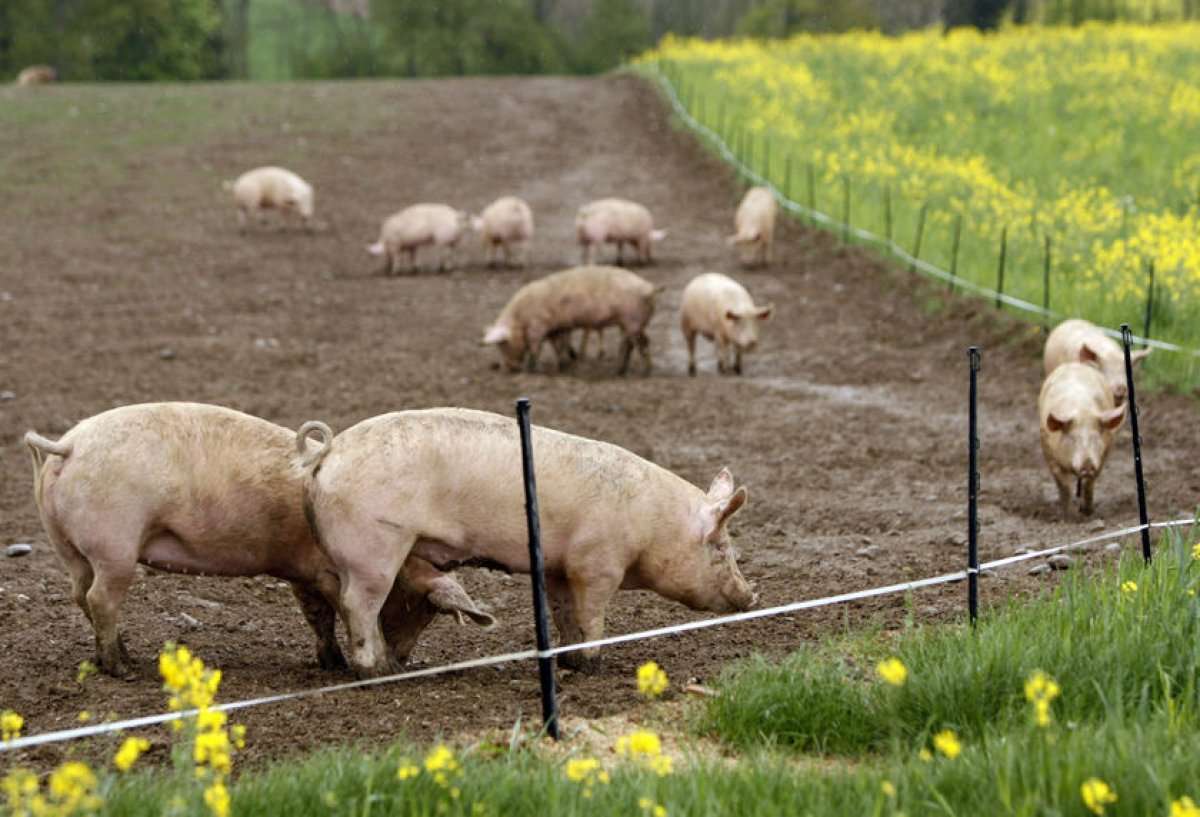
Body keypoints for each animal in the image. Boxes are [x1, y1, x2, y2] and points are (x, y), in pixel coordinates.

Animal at [23, 400, 492, 676]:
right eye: (421, 609)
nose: (403, 663)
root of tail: (68, 445)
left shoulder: (303, 574)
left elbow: (316, 616)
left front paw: (330, 663)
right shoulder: (327, 572)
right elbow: (342, 612)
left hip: (68, 546)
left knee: (80, 595)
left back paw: (120, 657)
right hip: (114, 545)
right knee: (101, 598)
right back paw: (122, 669)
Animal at [300, 407, 758, 676]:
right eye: (721, 547)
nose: (751, 596)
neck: (652, 524)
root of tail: (327, 453)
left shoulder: (558, 569)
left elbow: (565, 615)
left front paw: (571, 662)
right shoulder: (596, 565)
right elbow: (592, 616)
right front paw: (596, 665)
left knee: (346, 603)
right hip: (373, 551)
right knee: (358, 605)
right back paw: (373, 672)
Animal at [482, 263, 662, 371]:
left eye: (503, 345)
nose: (511, 368)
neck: (519, 317)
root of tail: (649, 288)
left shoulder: (538, 325)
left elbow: (536, 347)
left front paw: (531, 369)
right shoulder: (557, 327)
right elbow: (558, 345)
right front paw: (563, 364)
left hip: (632, 320)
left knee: (636, 344)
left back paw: (632, 370)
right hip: (635, 322)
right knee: (638, 342)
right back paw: (628, 369)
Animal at [1041, 362, 1123, 515]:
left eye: (1096, 438)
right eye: (1073, 438)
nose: (1087, 464)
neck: (1081, 410)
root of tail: (1075, 364)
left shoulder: (1102, 457)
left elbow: (1089, 483)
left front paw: (1087, 512)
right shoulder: (1050, 455)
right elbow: (1064, 486)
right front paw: (1067, 515)